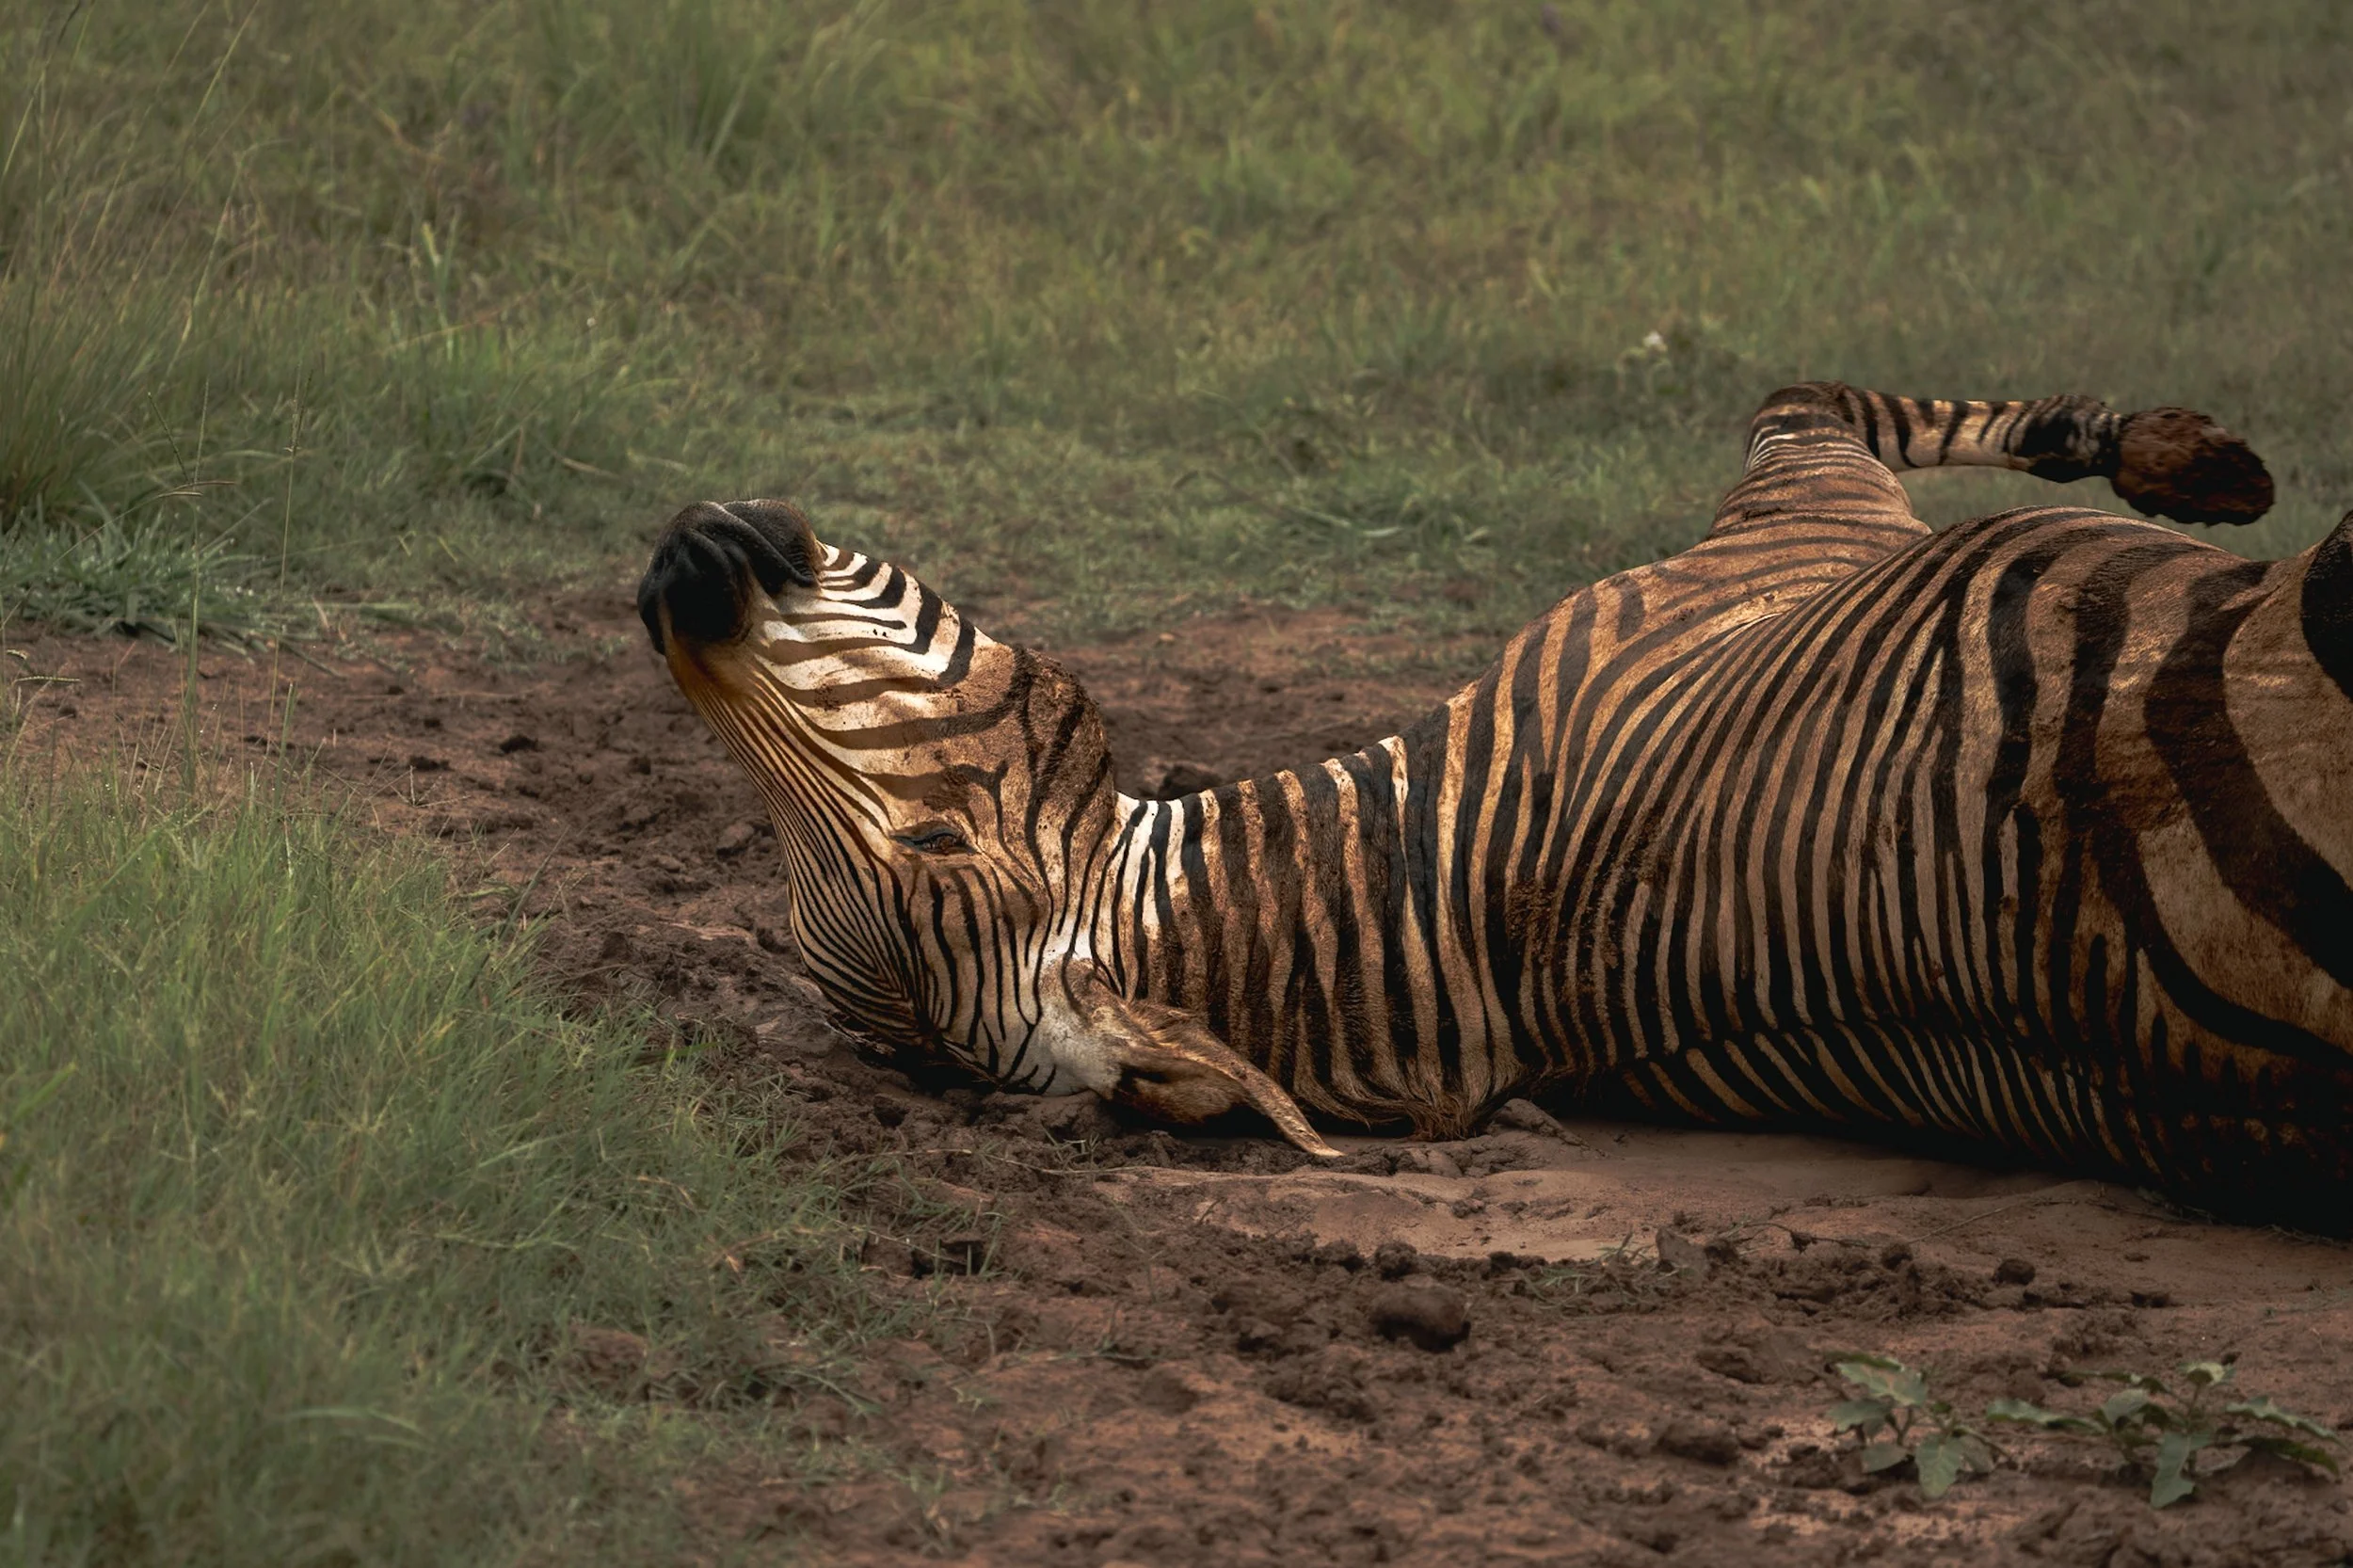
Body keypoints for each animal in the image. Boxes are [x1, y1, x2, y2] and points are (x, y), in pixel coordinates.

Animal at [638, 382, 2353, 1229]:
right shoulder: (1785, 524)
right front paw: (2180, 462)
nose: (673, 580)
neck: (1460, 892)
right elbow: (1832, 392)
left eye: (934, 837)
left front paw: (2178, 458)